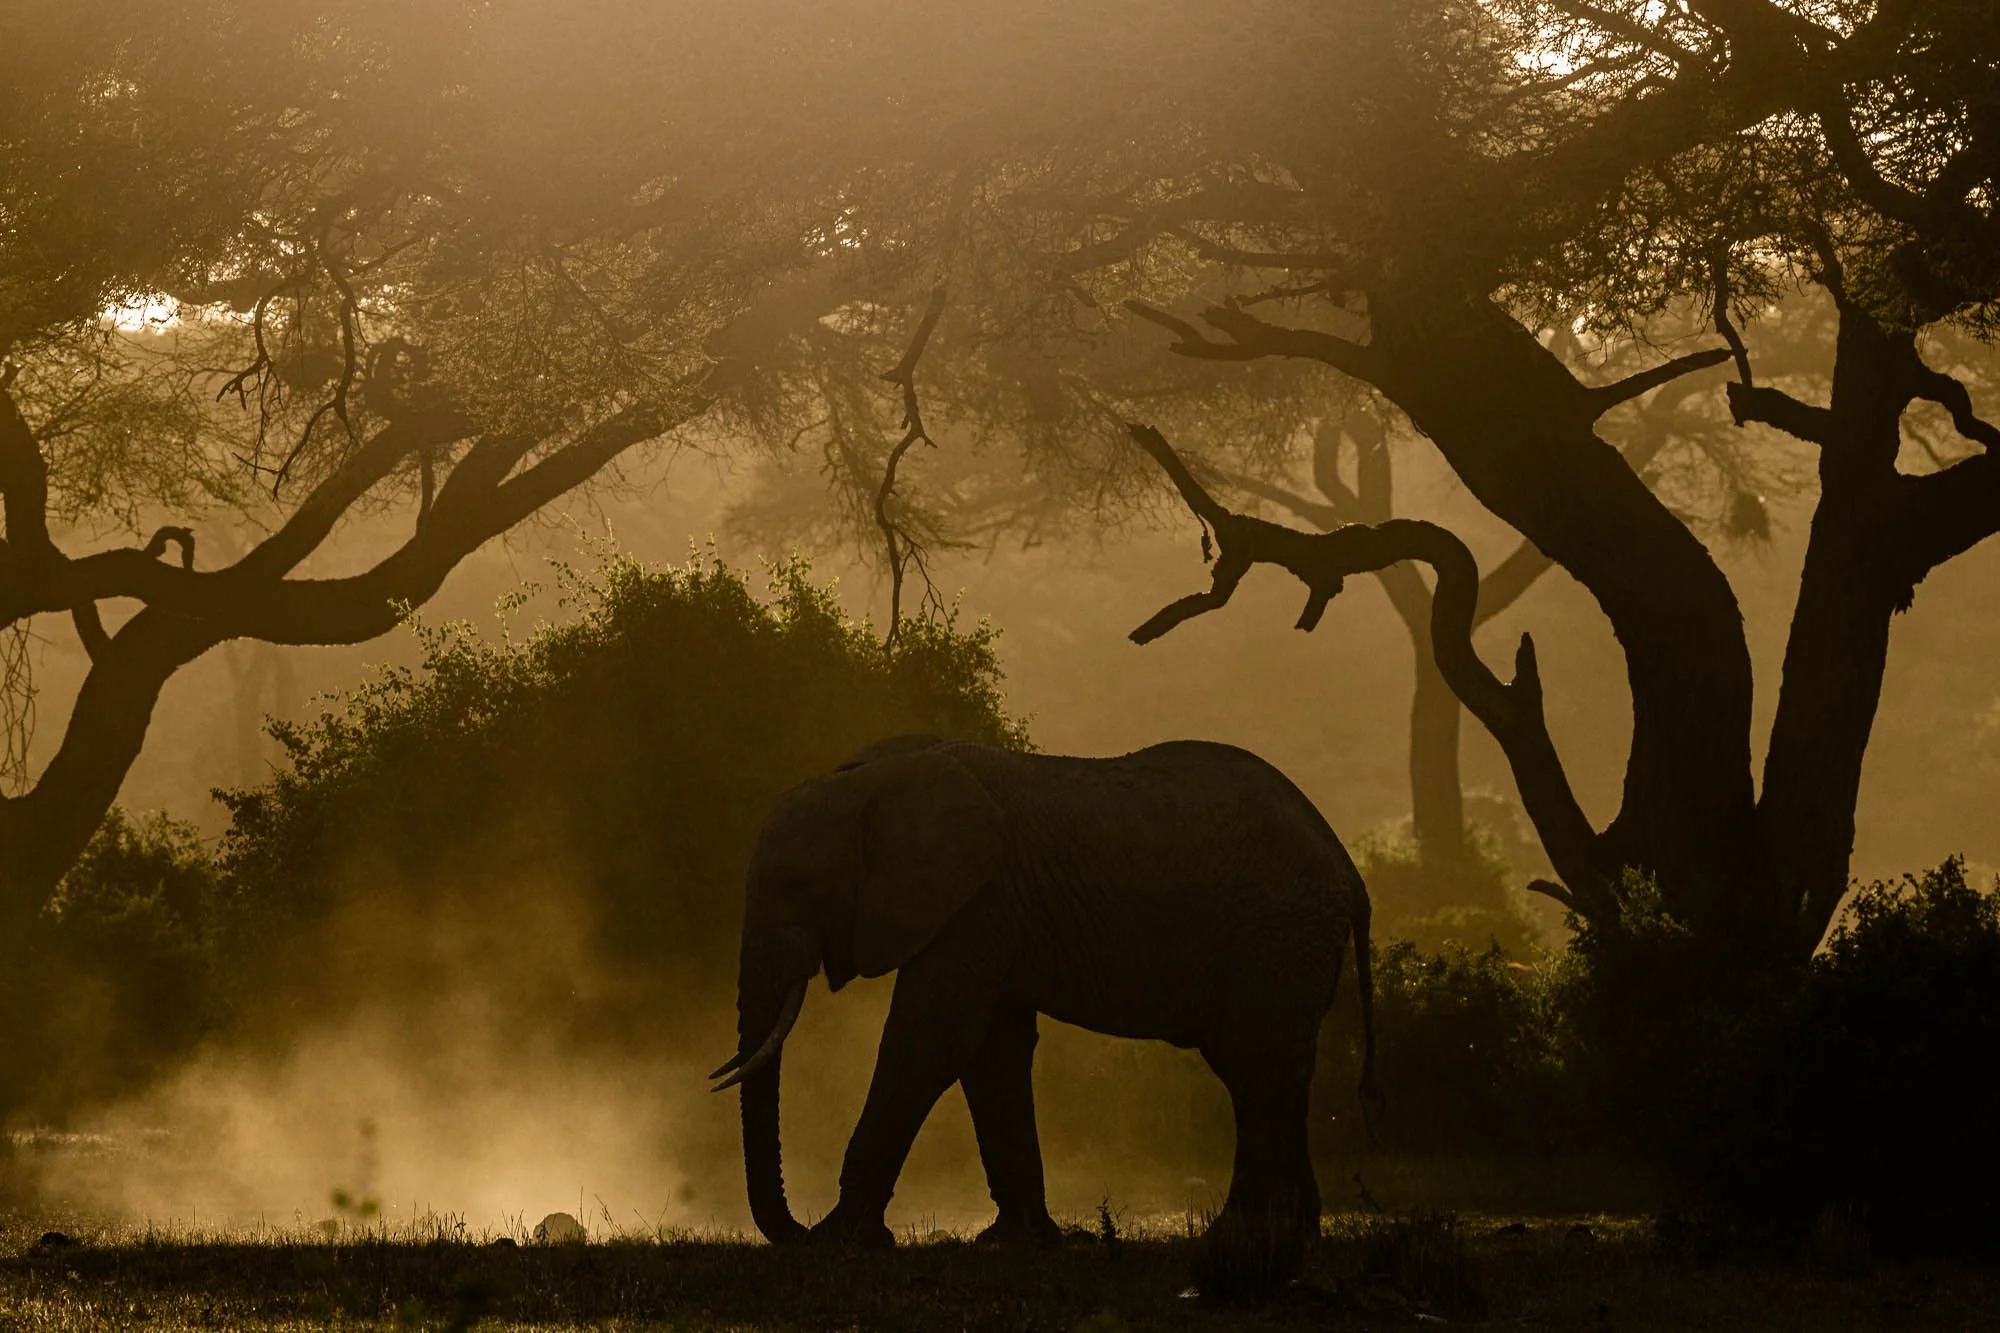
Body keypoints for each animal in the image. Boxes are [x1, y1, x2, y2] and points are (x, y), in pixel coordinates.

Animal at [710, 734, 1379, 1275]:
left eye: (798, 886)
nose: (794, 1234)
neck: (873, 781)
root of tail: (1348, 870)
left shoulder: (978, 902)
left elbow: (930, 1042)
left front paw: (840, 1240)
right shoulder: (992, 914)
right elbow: (991, 1055)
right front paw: (1015, 1242)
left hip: (1276, 937)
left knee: (1255, 1073)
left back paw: (1236, 1237)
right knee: (1279, 1075)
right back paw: (1296, 1235)